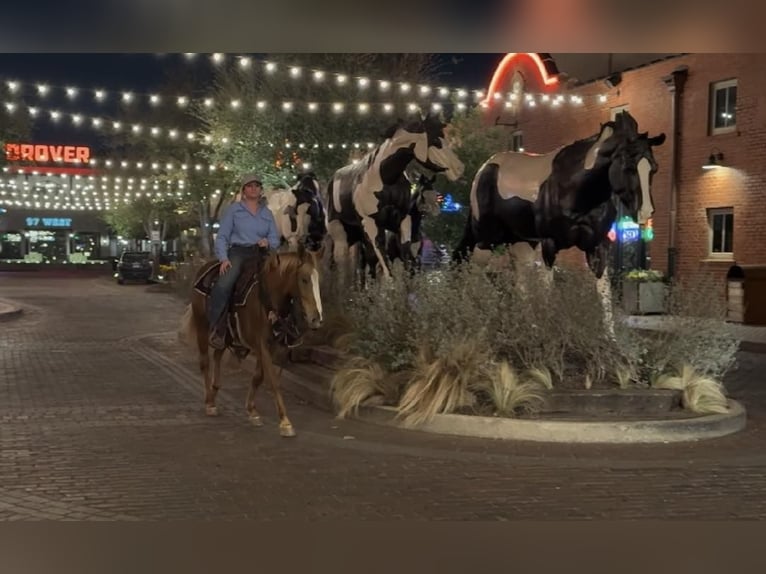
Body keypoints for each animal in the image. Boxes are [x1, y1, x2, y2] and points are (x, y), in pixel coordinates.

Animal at [179, 245, 324, 438]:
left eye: (318, 280)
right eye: (304, 279)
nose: (316, 319)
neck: (268, 299)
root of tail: (204, 268)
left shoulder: (272, 346)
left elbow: (258, 377)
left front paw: (252, 411)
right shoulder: (261, 344)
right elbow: (273, 381)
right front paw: (285, 422)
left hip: (226, 335)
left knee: (217, 354)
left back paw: (215, 391)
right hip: (202, 327)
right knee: (205, 362)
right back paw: (209, 402)